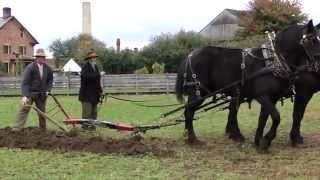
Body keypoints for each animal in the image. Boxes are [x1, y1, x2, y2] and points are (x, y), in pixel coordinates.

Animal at [175, 19, 320, 150]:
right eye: (313, 40)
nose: (318, 65)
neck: (273, 61)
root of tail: (190, 55)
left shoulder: (271, 97)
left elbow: (264, 118)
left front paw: (258, 141)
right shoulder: (267, 96)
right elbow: (278, 117)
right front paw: (267, 141)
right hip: (198, 92)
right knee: (189, 112)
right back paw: (192, 139)